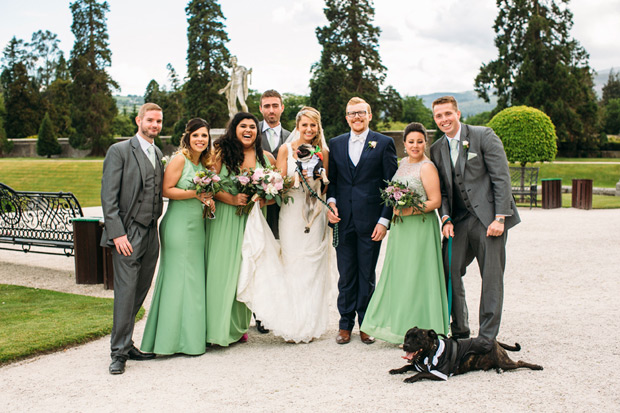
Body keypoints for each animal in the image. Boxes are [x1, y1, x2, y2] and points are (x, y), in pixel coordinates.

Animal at [392, 326, 544, 382]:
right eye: (406, 337)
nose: (405, 345)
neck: (429, 353)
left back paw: (536, 366)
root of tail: (494, 341)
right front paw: (396, 370)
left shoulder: (440, 374)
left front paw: (410, 378)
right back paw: (498, 370)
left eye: (417, 339)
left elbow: (421, 374)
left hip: (505, 362)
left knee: (520, 363)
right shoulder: (417, 365)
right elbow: (406, 366)